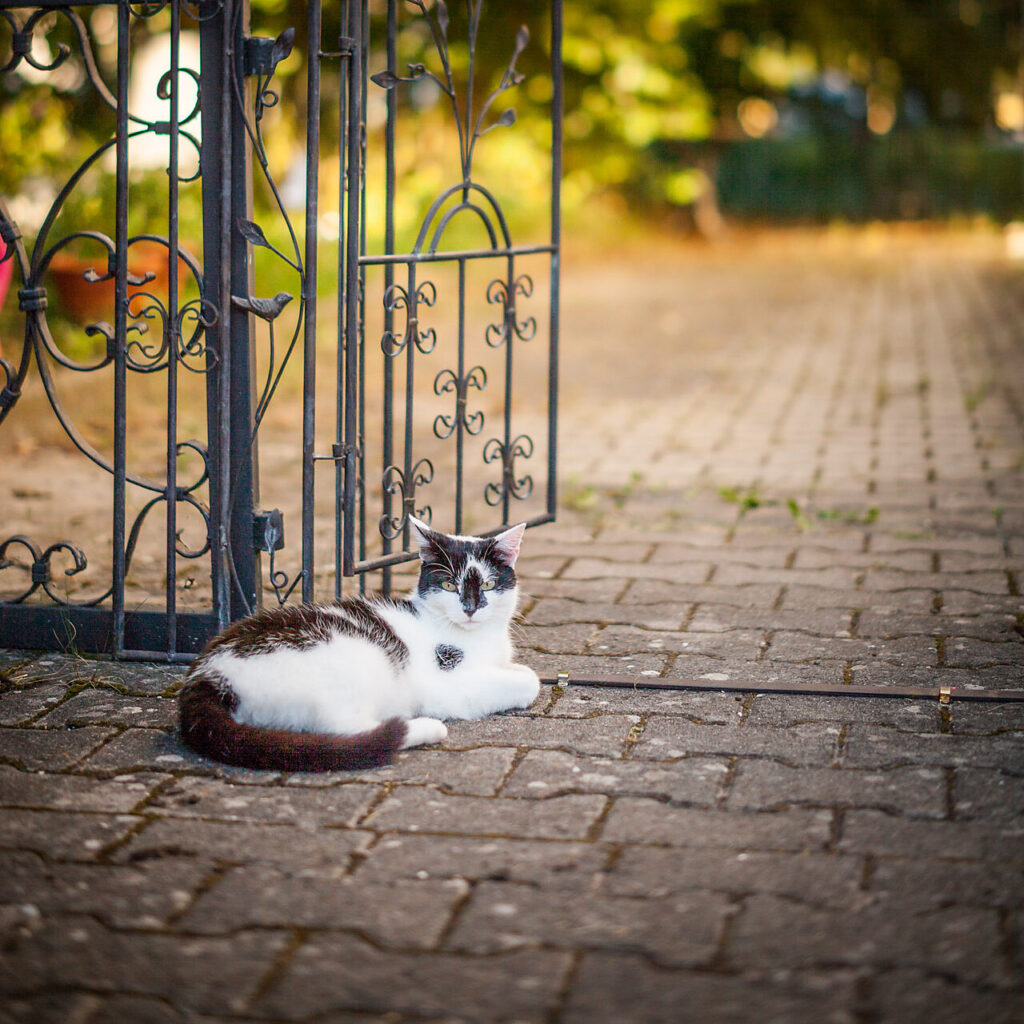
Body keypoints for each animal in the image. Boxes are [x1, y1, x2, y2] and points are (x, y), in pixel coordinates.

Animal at [179, 520, 540, 770]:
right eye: (450, 585)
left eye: (489, 584)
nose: (470, 608)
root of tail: (207, 676)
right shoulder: (445, 684)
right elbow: (530, 681)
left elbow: (518, 669)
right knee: (345, 729)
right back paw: (424, 728)